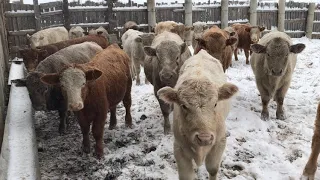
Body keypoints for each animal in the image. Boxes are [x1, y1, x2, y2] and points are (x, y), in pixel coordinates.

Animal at [158, 48, 238, 179]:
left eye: (215, 104)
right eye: (184, 106)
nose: (204, 138)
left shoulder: (220, 142)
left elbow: (212, 169)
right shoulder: (179, 148)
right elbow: (186, 175)